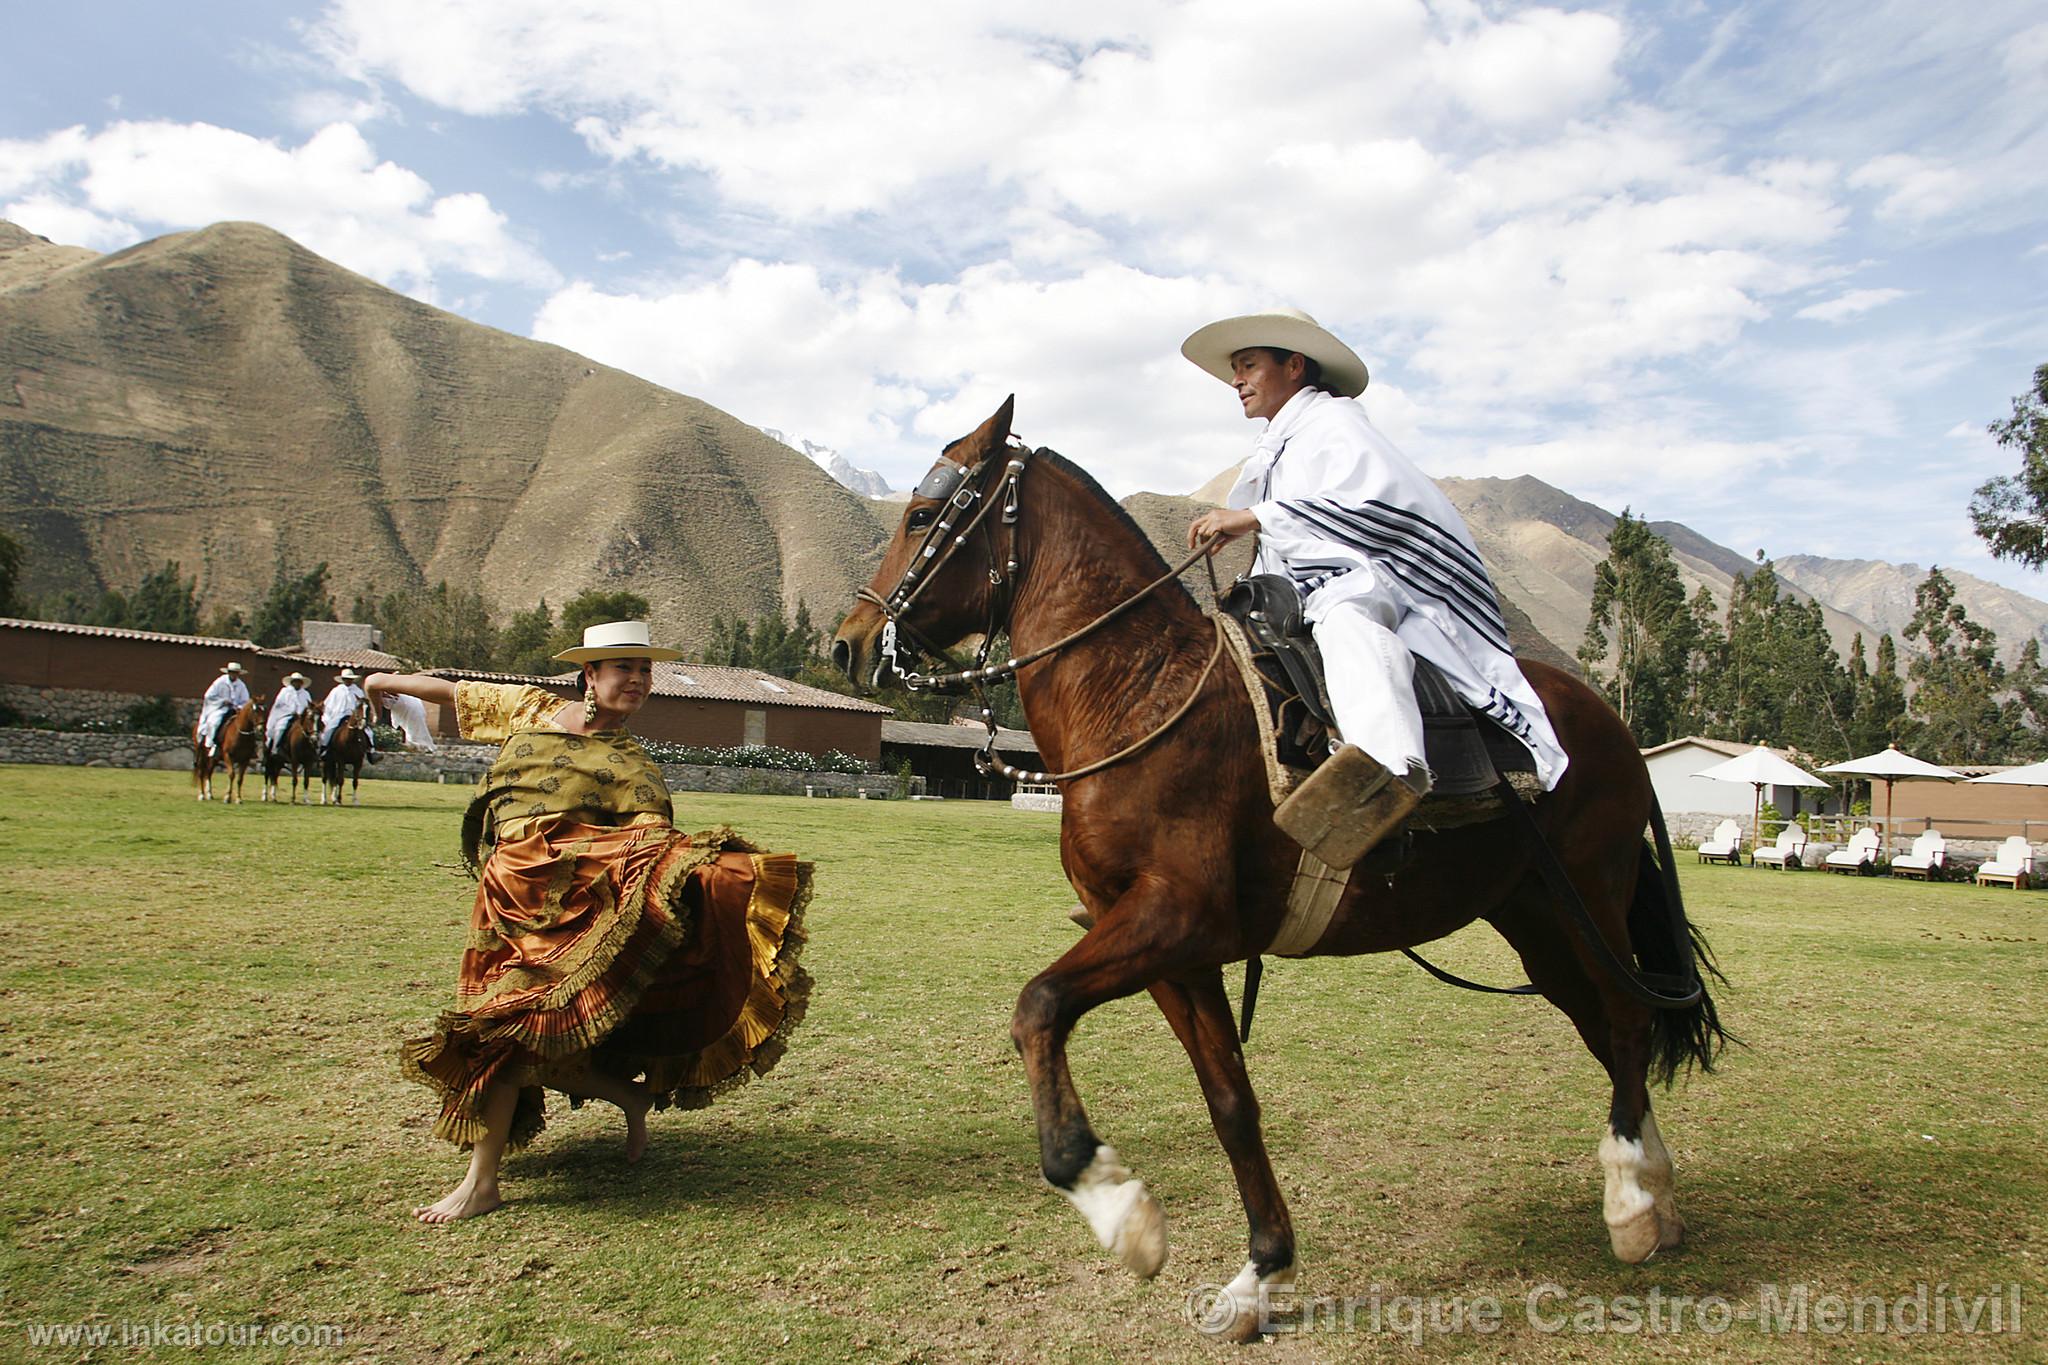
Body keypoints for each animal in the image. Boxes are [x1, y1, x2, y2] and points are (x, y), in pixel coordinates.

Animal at [831, 397, 1728, 1342]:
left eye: (922, 515)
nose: (849, 643)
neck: (1139, 693)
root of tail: (1611, 724)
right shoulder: (1172, 952)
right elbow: (1230, 1101)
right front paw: (1259, 1272)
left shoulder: (1174, 918)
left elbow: (1038, 1006)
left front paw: (1119, 1207)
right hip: (1539, 923)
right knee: (1610, 1030)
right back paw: (1658, 1196)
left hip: (1590, 897)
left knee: (1627, 1020)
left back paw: (1631, 1205)